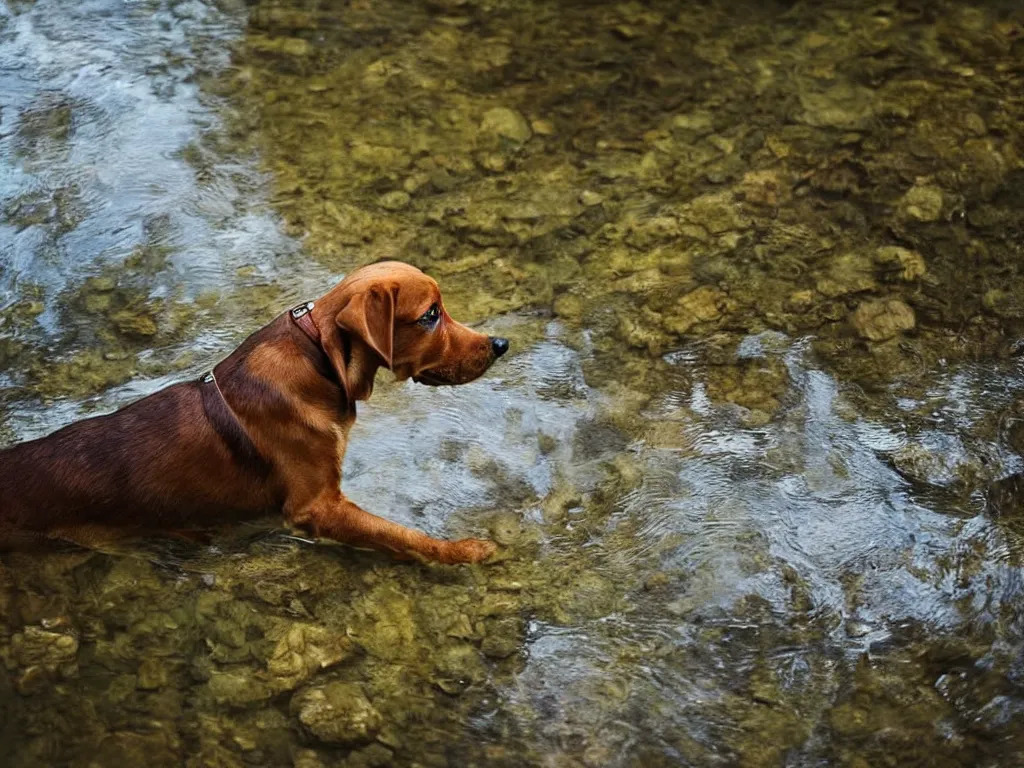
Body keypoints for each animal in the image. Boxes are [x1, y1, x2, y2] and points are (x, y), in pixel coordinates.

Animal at [0, 262, 509, 561]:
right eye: (430, 315)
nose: (500, 344)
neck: (323, 362)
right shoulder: (316, 507)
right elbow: (399, 534)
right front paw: (462, 550)